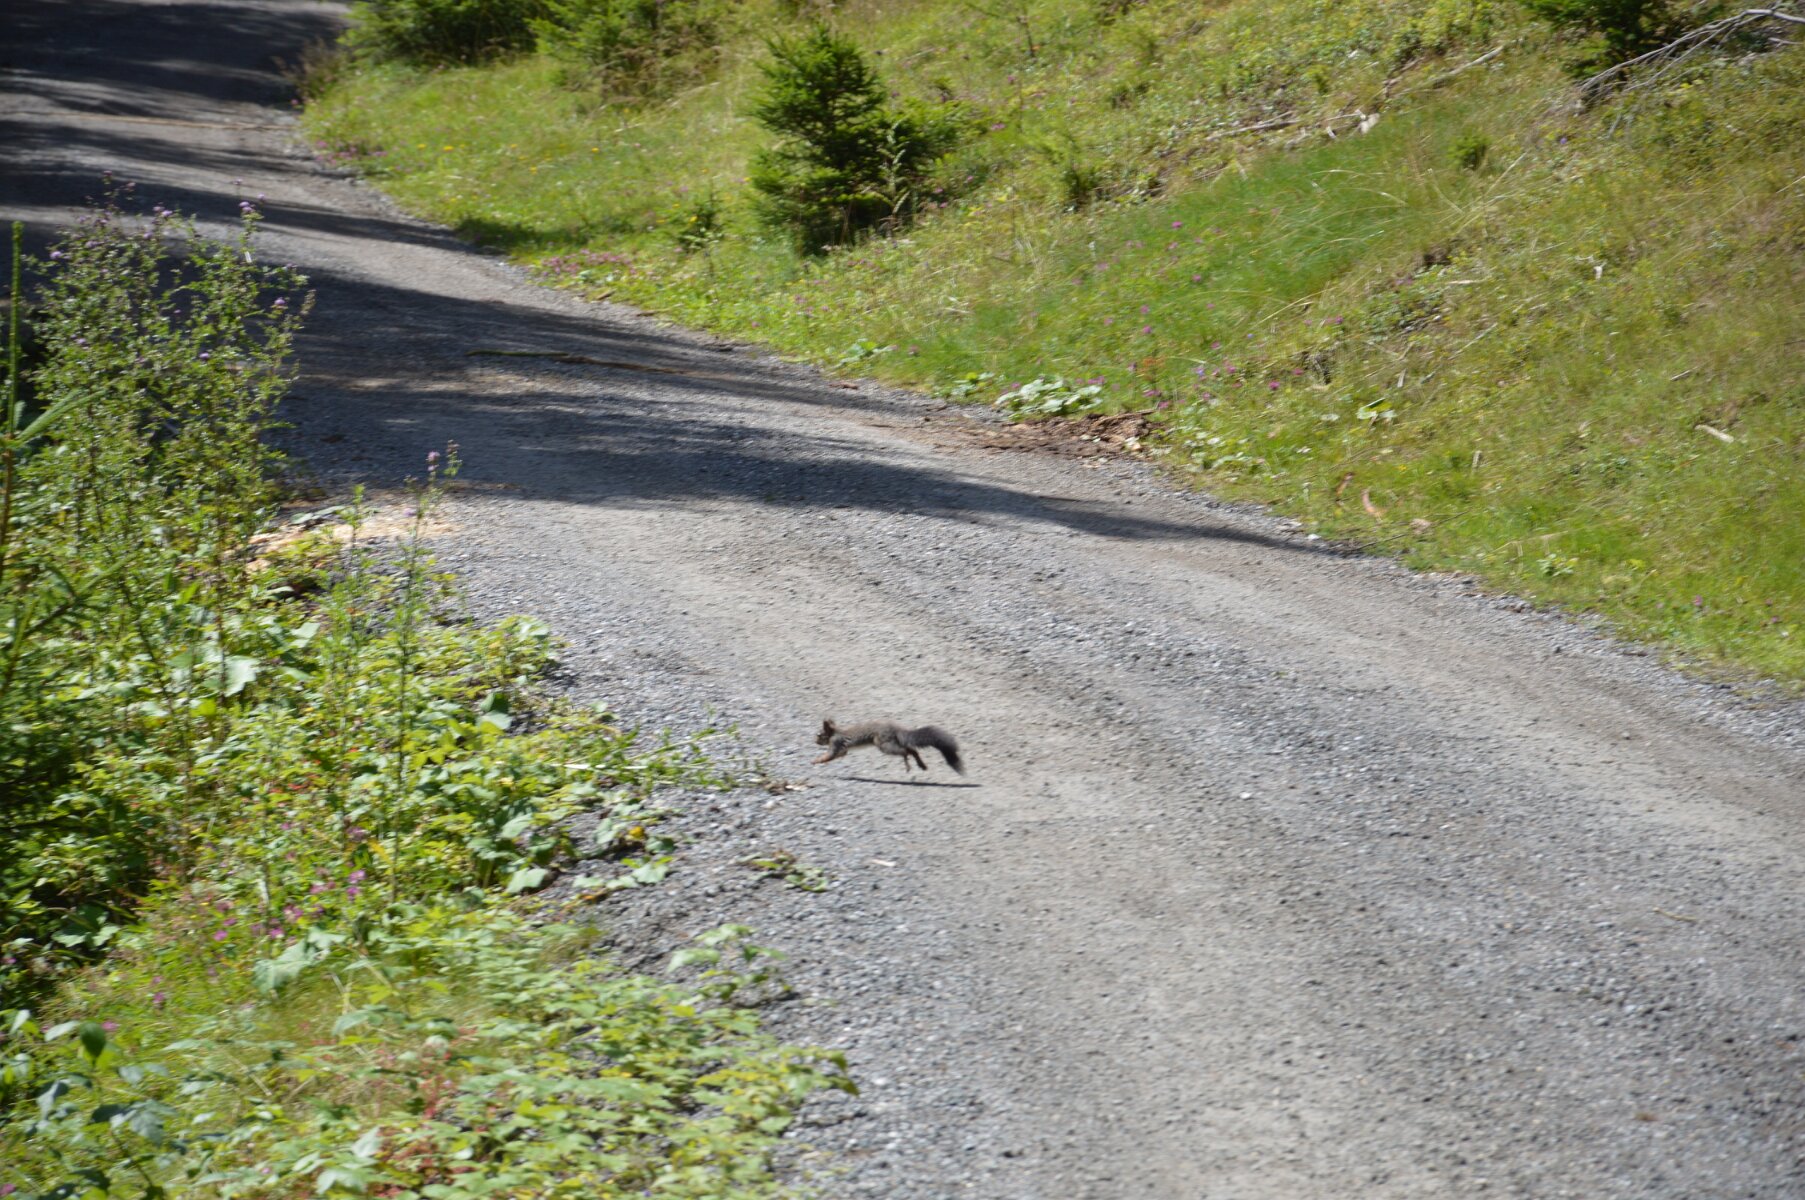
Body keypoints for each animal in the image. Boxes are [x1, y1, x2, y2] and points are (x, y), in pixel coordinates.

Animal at [813, 718, 964, 775]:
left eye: (819, 735)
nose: (814, 741)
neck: (834, 732)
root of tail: (895, 729)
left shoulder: (836, 742)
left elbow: (829, 755)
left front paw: (816, 761)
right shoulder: (842, 748)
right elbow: (840, 754)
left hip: (883, 744)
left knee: (904, 751)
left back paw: (908, 764)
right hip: (891, 742)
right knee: (912, 750)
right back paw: (920, 764)